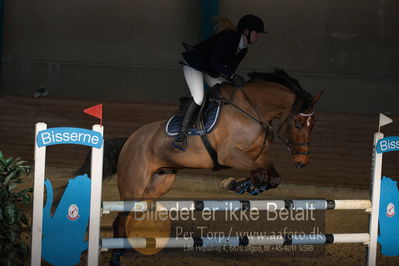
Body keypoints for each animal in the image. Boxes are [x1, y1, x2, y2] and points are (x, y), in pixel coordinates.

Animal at [78, 68, 322, 264]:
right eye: (298, 124)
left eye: (313, 125)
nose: (302, 162)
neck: (253, 111)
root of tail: (129, 140)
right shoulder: (229, 154)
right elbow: (260, 173)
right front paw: (236, 184)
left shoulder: (258, 155)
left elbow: (272, 176)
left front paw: (246, 186)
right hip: (133, 185)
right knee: (120, 217)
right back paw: (116, 255)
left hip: (159, 183)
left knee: (132, 213)